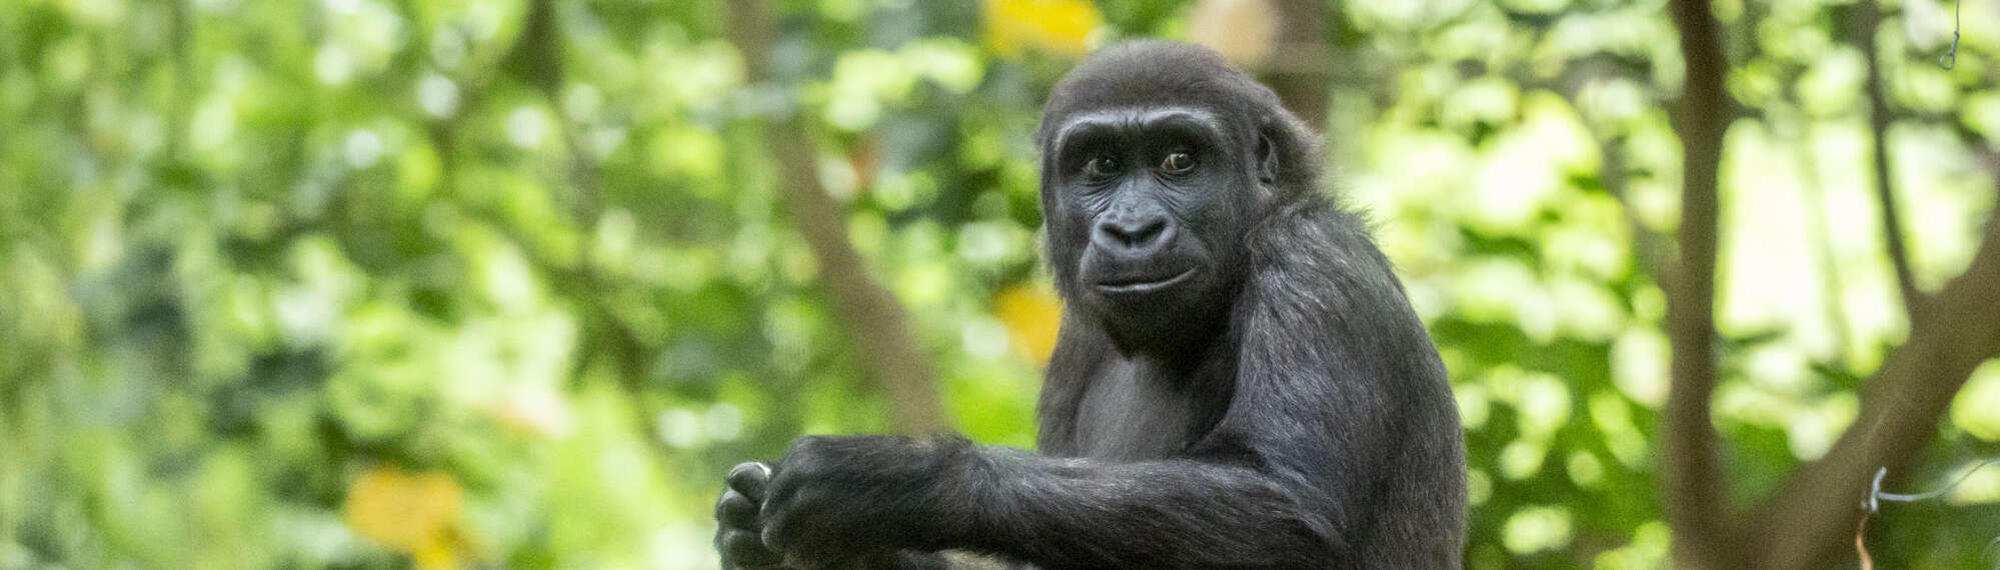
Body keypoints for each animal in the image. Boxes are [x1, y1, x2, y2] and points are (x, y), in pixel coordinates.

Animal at [716, 40, 1472, 568]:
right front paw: (846, 548)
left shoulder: (1315, 261)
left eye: (1178, 160)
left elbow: (1289, 507)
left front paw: (900, 483)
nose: (1133, 230)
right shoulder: (1076, 342)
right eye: (1101, 165)